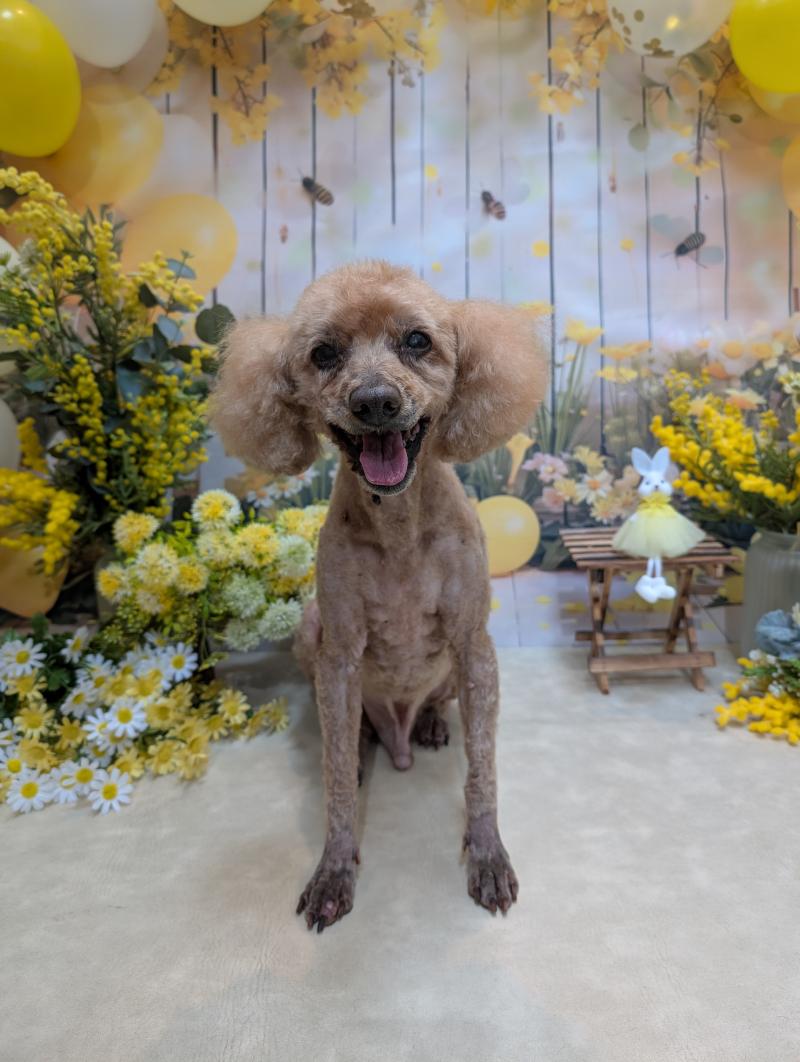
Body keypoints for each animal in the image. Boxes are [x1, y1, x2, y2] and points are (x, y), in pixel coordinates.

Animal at [211, 261, 547, 932]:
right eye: (323, 353)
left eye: (417, 341)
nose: (374, 402)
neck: (398, 528)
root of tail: (399, 728)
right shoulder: (339, 654)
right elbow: (337, 781)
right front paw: (335, 870)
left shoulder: (476, 647)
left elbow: (483, 771)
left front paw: (487, 856)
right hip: (310, 634)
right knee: (351, 729)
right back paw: (372, 740)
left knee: (439, 706)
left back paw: (431, 726)